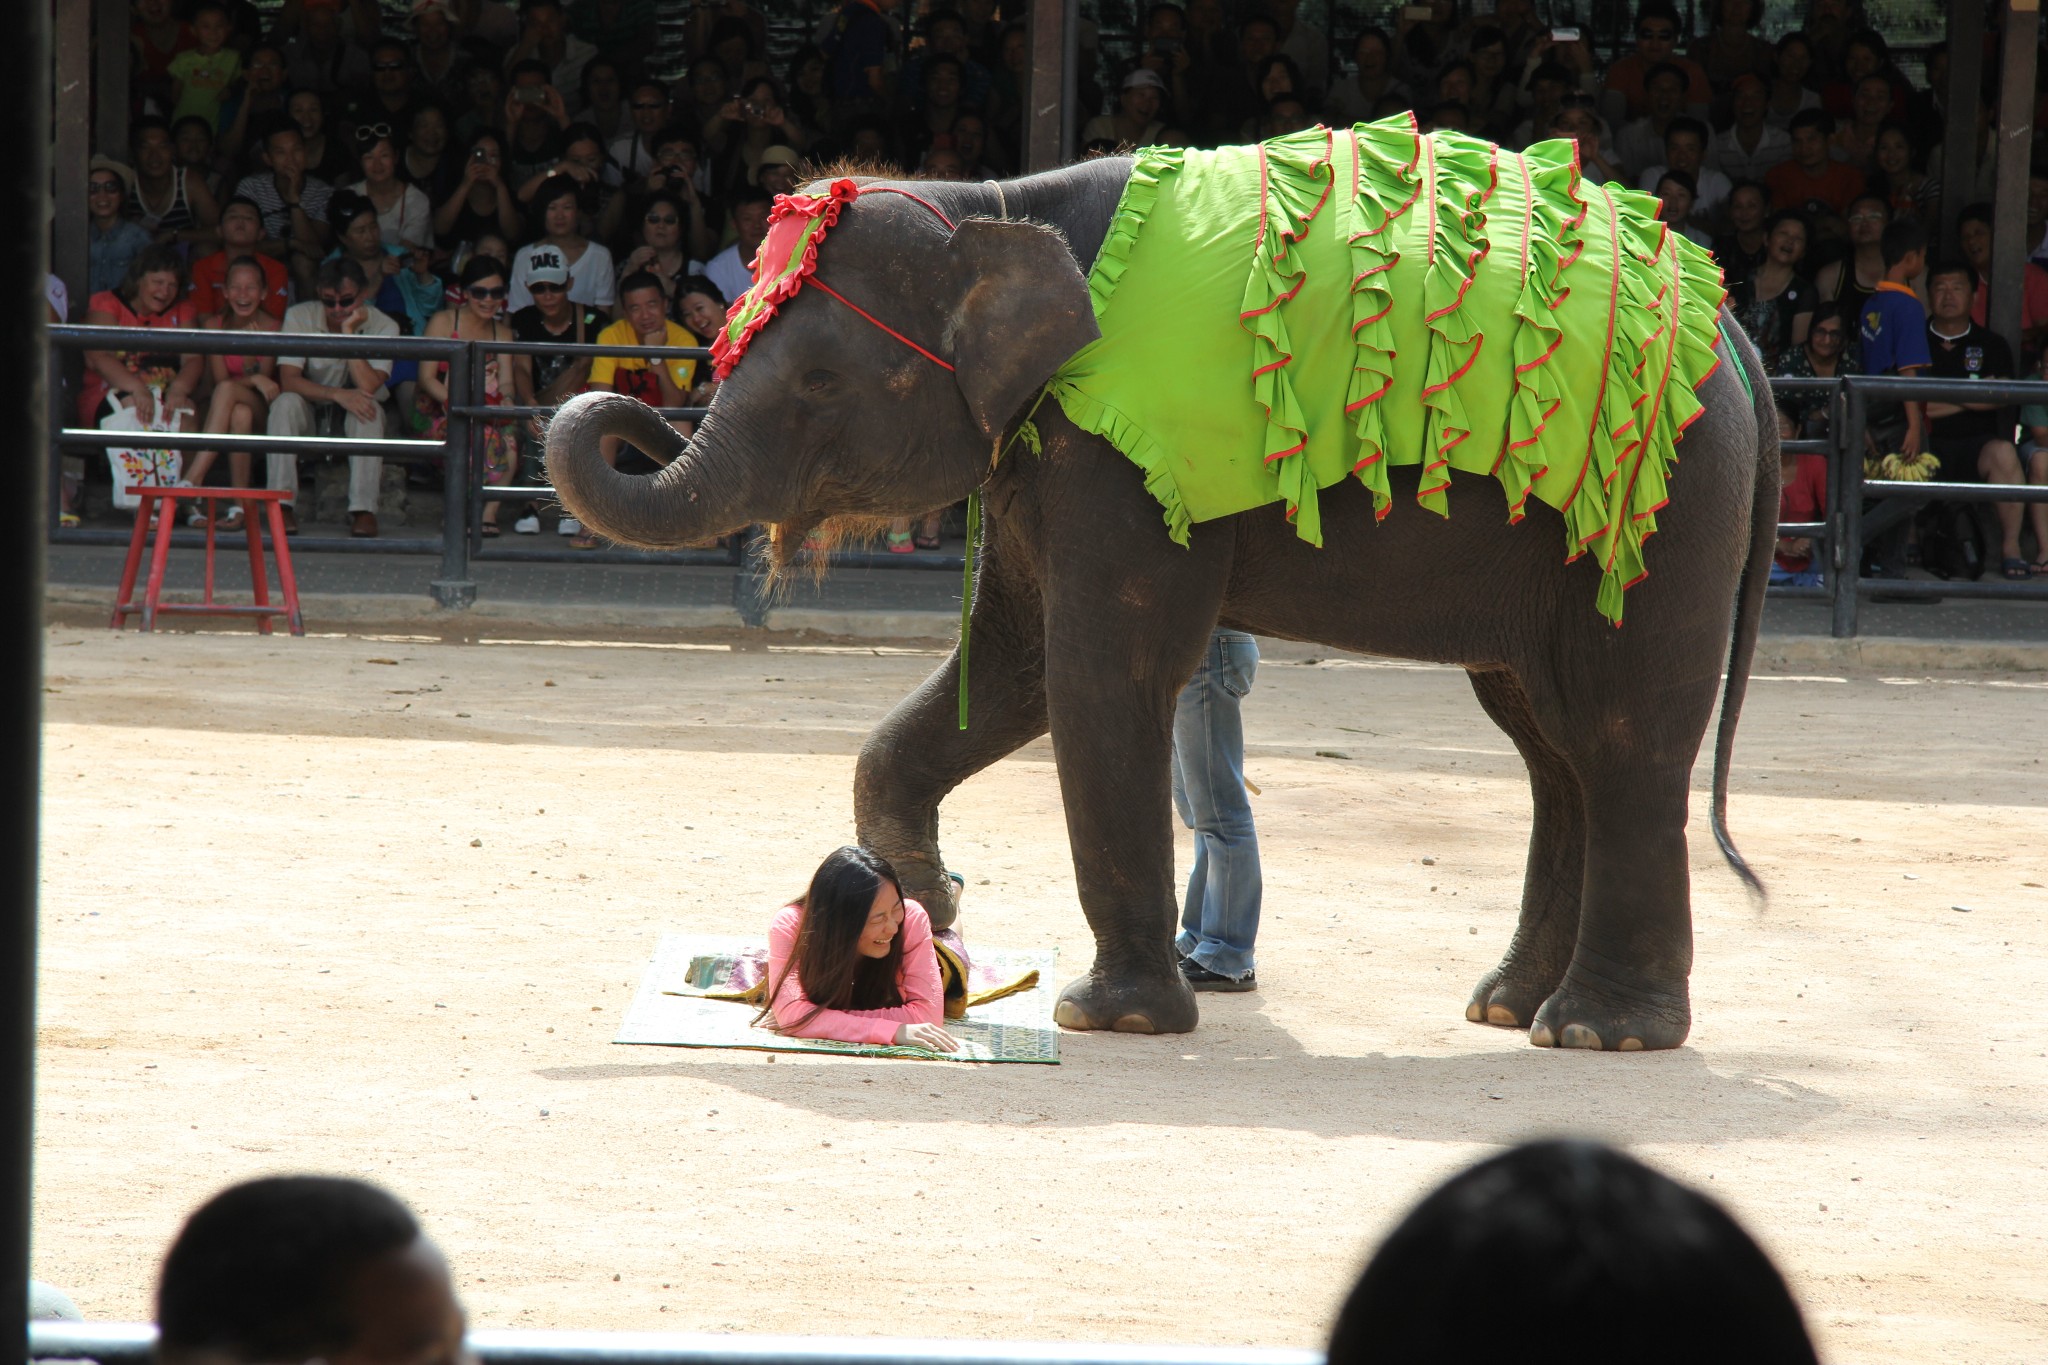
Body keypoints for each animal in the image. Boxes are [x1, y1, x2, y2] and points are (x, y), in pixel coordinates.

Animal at [548, 149, 1777, 1055]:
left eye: (816, 381)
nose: (636, 410)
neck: (993, 202)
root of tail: (1727, 324)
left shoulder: (1114, 459)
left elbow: (1096, 677)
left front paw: (1108, 1019)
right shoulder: (1043, 452)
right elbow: (1008, 668)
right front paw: (929, 902)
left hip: (1655, 511)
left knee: (1619, 734)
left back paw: (1600, 1033)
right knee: (1547, 743)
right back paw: (1506, 1008)